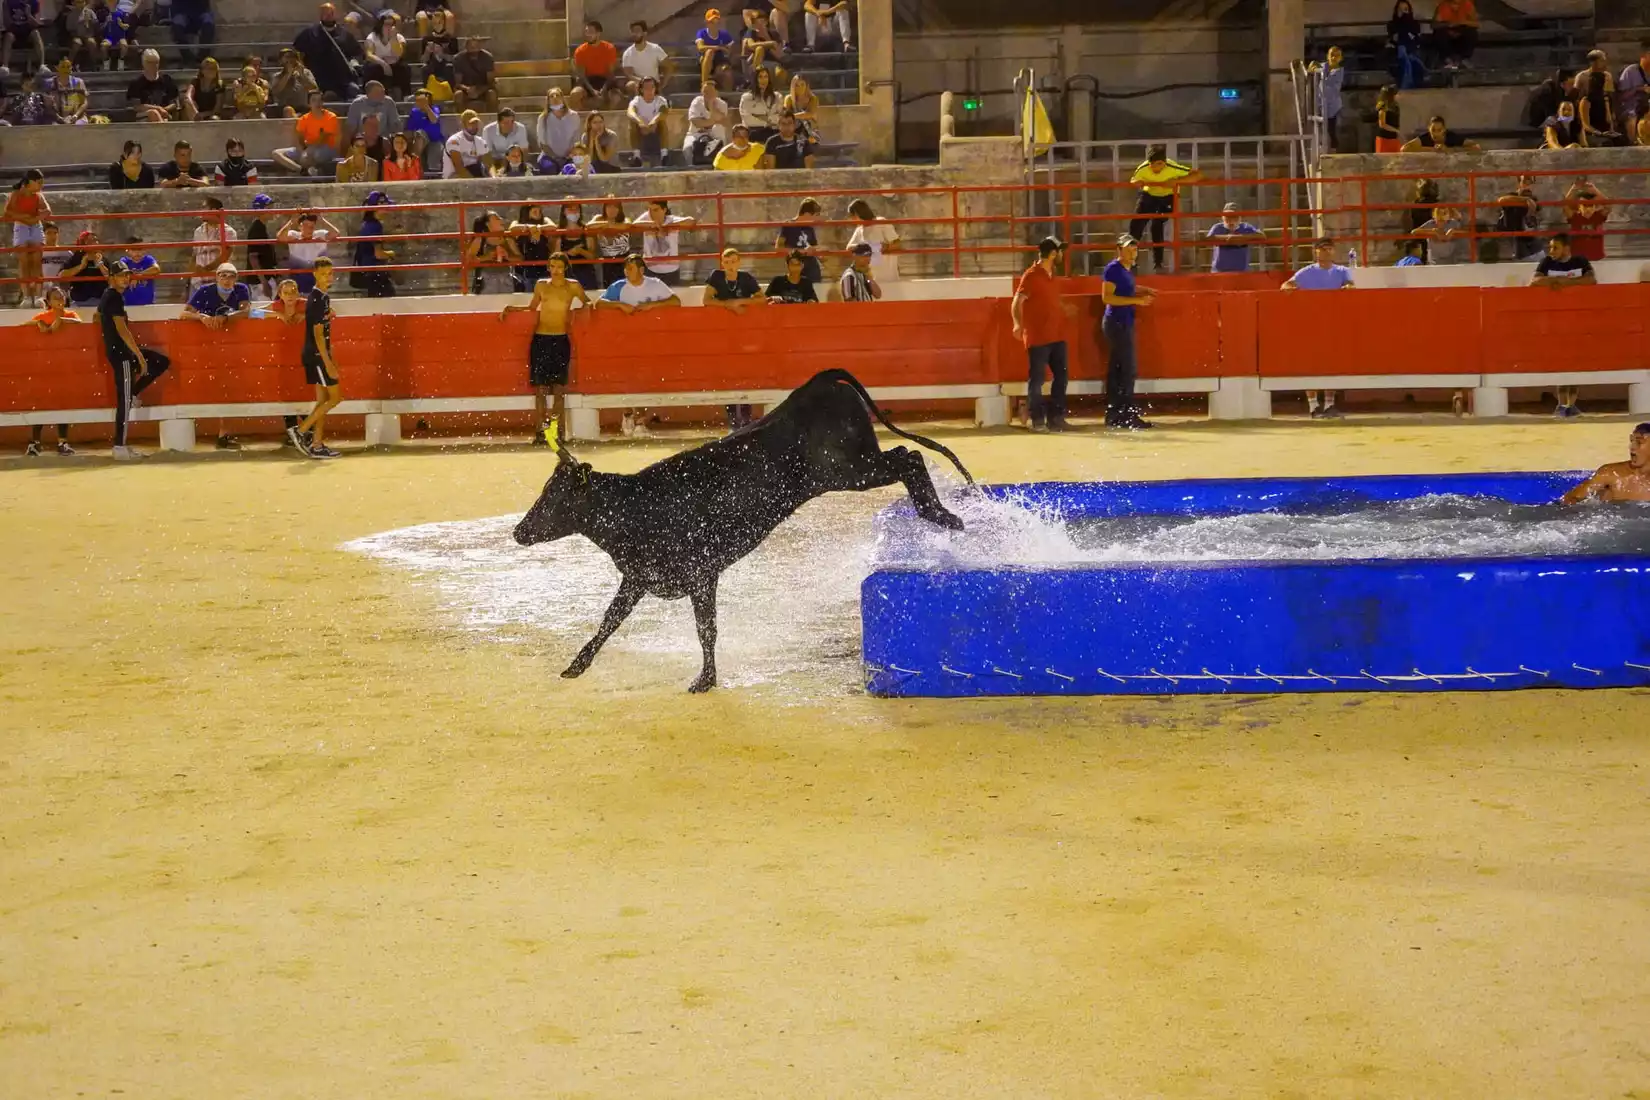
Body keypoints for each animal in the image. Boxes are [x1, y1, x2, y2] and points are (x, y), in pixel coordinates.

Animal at [514, 372, 970, 695]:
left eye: (554, 498)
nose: (519, 531)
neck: (634, 507)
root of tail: (817, 384)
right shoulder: (639, 578)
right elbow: (609, 620)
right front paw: (576, 666)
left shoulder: (701, 575)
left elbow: (706, 628)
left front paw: (705, 680)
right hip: (853, 469)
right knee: (908, 456)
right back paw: (942, 515)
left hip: (848, 470)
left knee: (908, 457)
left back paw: (943, 515)